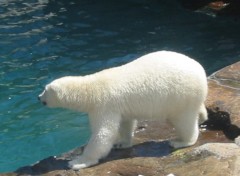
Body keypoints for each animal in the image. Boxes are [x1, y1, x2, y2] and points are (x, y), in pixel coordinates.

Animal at [38, 51, 207, 170]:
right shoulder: (120, 106)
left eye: (45, 90)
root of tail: (201, 71)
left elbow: (103, 134)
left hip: (182, 95)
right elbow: (126, 123)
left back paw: (180, 141)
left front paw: (77, 162)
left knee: (183, 120)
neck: (91, 89)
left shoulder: (104, 105)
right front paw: (121, 143)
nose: (39, 98)